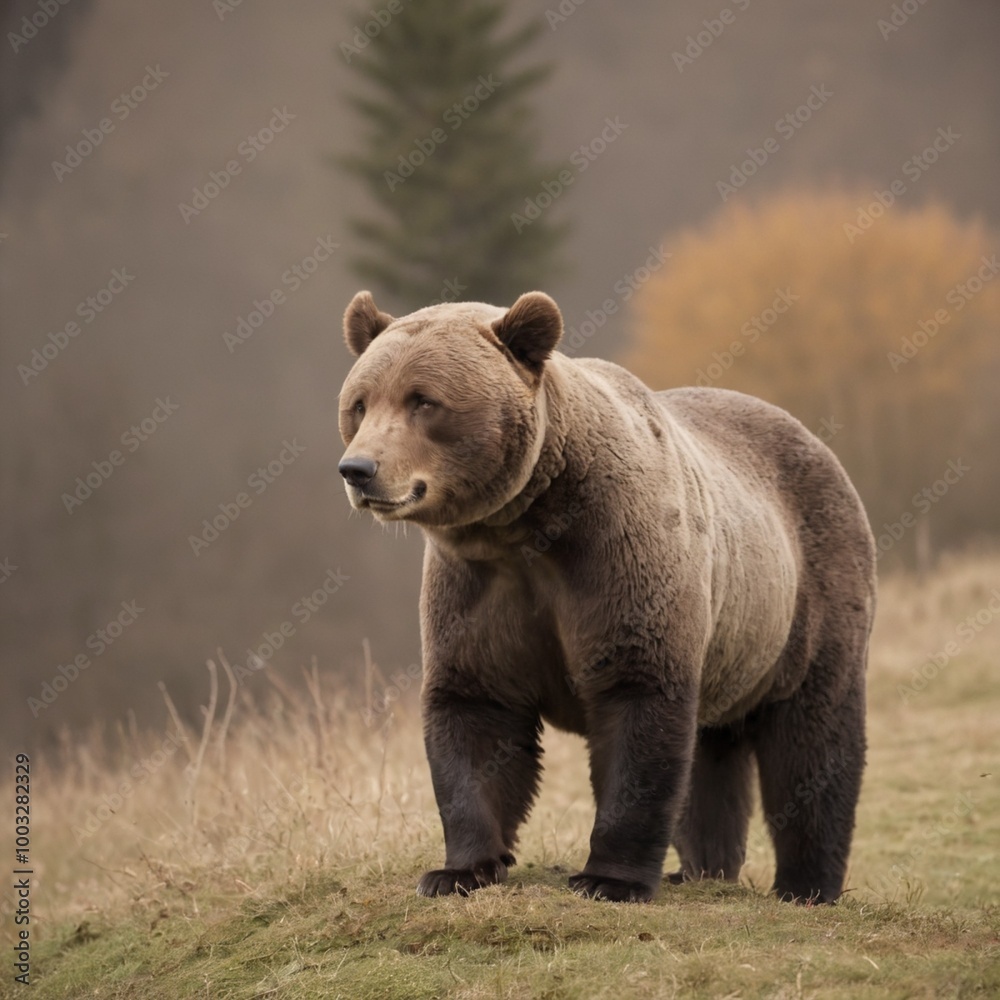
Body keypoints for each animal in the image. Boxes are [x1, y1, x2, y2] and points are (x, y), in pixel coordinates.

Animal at [337, 289, 876, 904]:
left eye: (423, 401)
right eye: (359, 403)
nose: (359, 469)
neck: (525, 524)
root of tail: (818, 445)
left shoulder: (618, 562)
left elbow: (636, 700)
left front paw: (608, 878)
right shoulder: (477, 589)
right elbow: (475, 709)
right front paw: (459, 870)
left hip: (808, 596)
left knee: (813, 742)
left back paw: (807, 884)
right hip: (733, 641)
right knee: (711, 757)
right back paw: (703, 868)